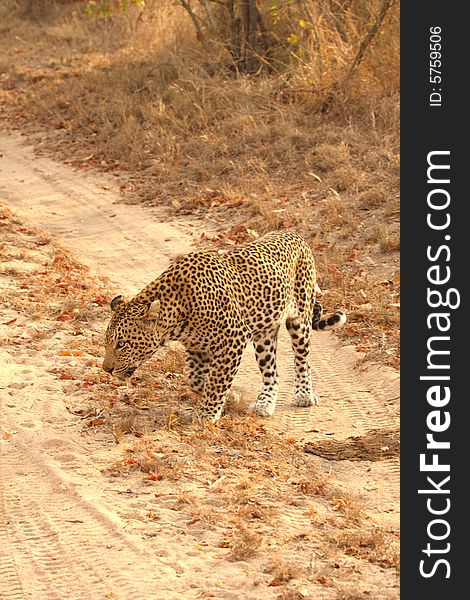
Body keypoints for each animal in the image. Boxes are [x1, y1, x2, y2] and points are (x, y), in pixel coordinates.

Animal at [103, 230, 346, 422]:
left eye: (121, 344)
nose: (106, 369)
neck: (178, 311)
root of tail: (295, 235)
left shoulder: (233, 338)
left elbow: (217, 379)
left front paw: (207, 414)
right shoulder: (196, 347)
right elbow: (196, 379)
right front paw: (230, 397)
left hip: (300, 320)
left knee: (302, 360)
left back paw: (304, 394)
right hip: (264, 336)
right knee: (272, 372)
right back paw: (264, 403)